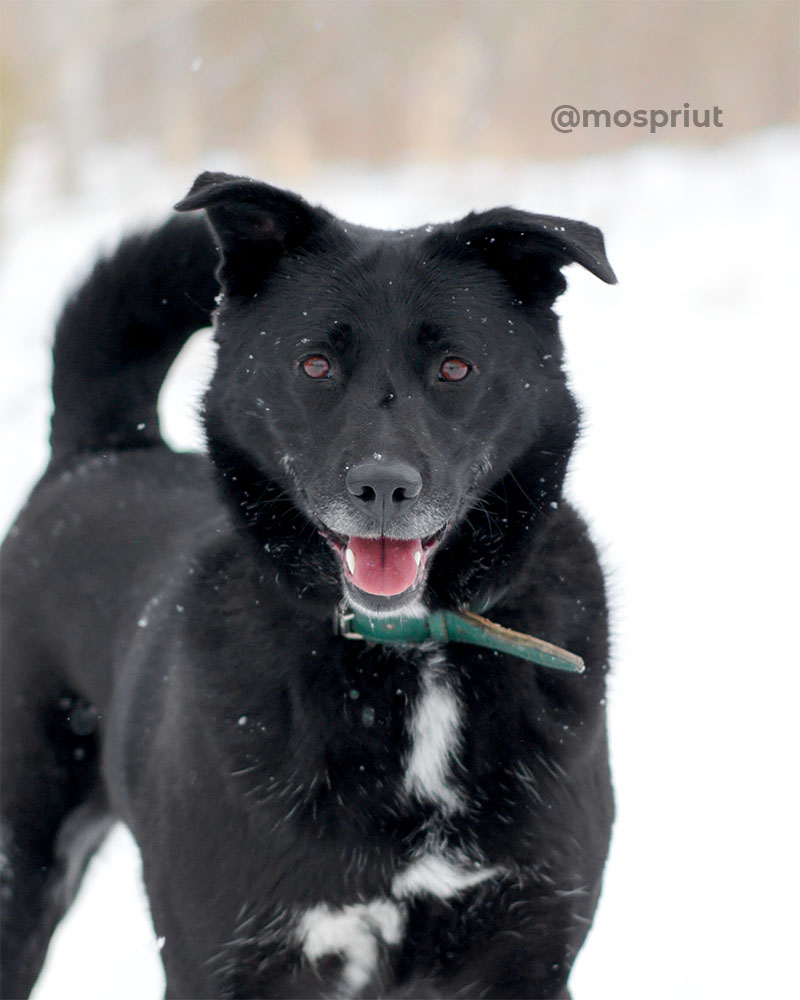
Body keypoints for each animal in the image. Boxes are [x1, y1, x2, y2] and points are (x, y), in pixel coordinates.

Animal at [0, 176, 616, 996]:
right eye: (315, 366)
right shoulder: (224, 961)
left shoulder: (525, 953)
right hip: (19, 866)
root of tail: (97, 452)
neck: (406, 652)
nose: (383, 486)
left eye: (455, 368)